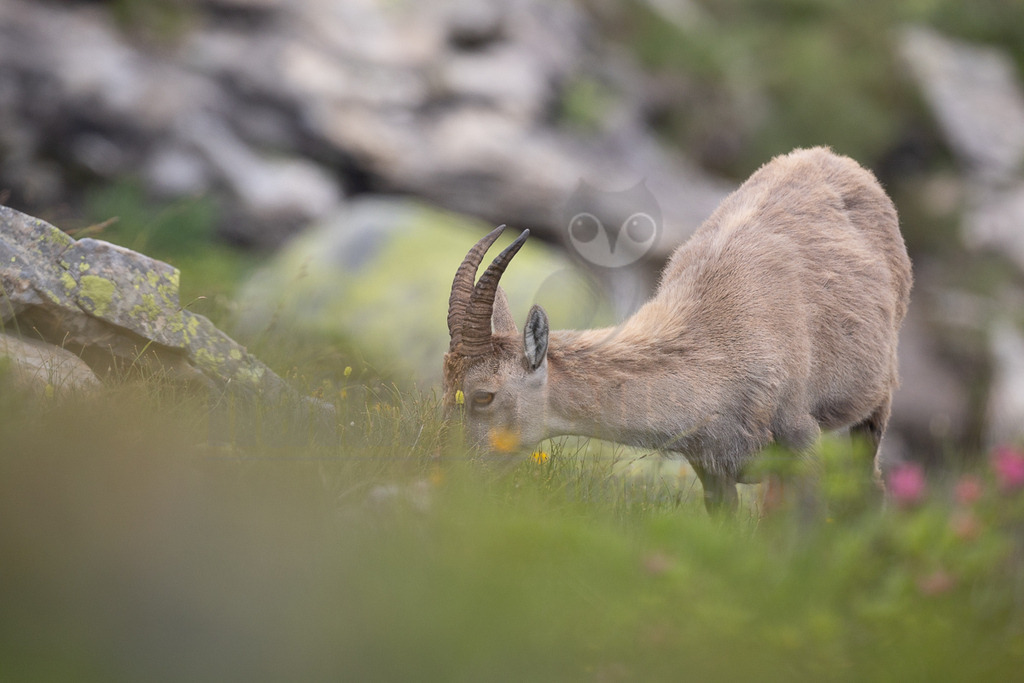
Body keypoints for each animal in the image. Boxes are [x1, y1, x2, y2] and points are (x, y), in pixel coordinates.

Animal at [443, 147, 913, 513]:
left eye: (483, 395)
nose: (453, 471)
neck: (717, 355)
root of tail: (832, 158)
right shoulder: (713, 468)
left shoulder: (801, 439)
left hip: (875, 405)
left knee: (869, 488)